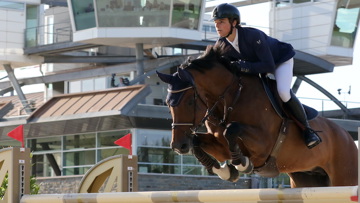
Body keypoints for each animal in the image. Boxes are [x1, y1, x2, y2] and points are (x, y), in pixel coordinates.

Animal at [158, 44, 358, 187]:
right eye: (167, 104)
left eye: (189, 102)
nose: (178, 146)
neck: (231, 99)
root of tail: (347, 137)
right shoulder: (221, 146)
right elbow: (199, 141)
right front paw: (225, 171)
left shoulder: (263, 145)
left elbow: (232, 129)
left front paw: (241, 164)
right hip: (307, 178)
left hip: (344, 177)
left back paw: (312, 137)